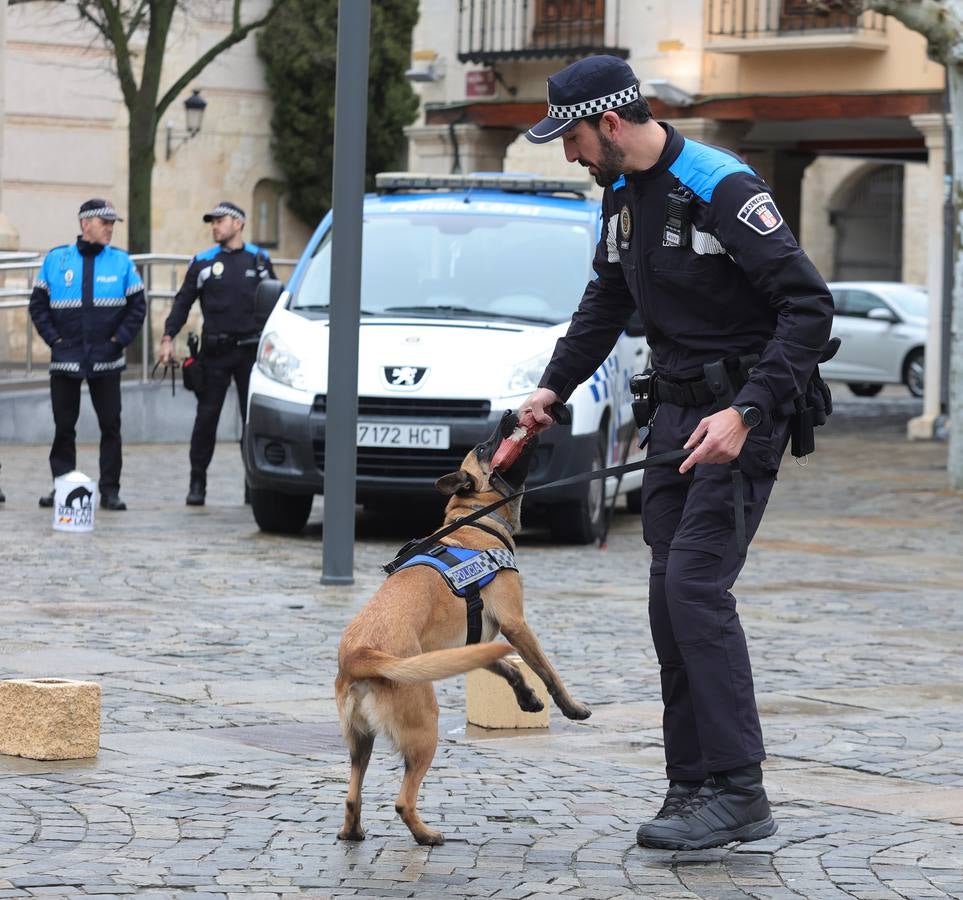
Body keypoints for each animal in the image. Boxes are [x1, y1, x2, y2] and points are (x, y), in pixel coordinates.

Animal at [336, 412, 592, 848]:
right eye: (486, 448)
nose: (509, 415)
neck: (476, 522)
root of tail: (360, 656)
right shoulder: (516, 624)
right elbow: (546, 670)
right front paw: (570, 706)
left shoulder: (473, 644)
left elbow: (507, 668)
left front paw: (527, 697)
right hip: (425, 730)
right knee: (402, 800)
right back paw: (426, 835)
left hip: (361, 743)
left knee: (352, 797)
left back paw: (354, 832)